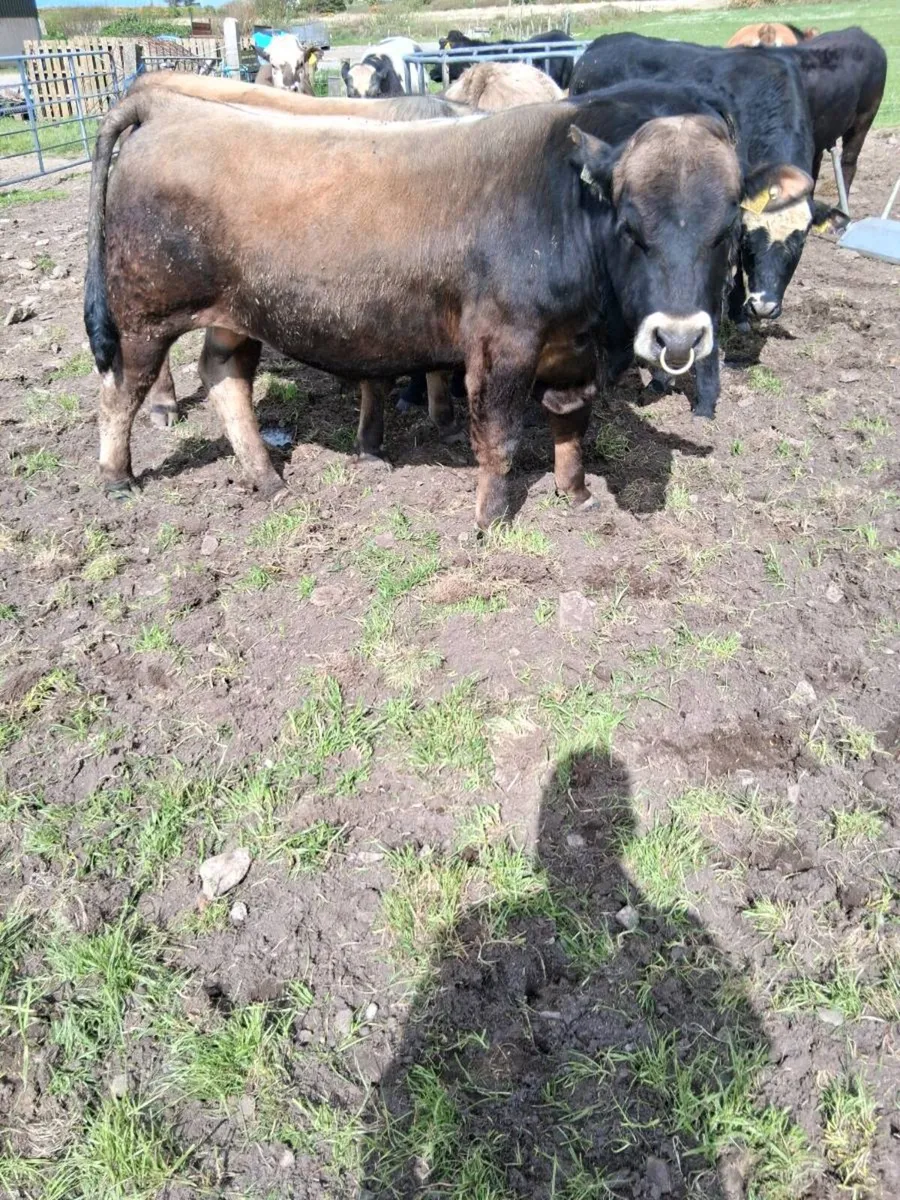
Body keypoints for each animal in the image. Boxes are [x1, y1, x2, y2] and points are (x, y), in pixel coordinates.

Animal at [85, 88, 777, 526]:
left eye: (727, 230)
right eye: (631, 227)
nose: (677, 338)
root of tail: (170, 108)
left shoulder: (573, 350)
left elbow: (570, 422)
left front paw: (575, 493)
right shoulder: (503, 345)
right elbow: (497, 435)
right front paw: (490, 518)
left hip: (236, 314)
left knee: (226, 380)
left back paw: (268, 479)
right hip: (143, 314)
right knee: (121, 391)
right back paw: (117, 477)